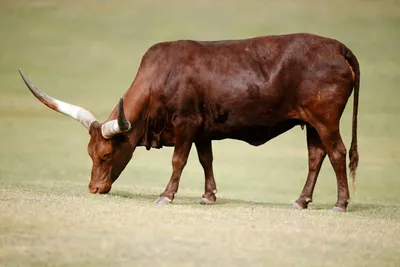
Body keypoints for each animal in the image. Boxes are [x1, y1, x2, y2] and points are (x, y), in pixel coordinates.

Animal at [20, 33, 360, 211]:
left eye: (106, 155)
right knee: (316, 157)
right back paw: (301, 201)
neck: (161, 78)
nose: (94, 188)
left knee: (337, 153)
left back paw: (341, 203)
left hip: (326, 120)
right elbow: (205, 160)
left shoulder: (186, 123)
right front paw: (208, 196)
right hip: (312, 123)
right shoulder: (202, 129)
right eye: (90, 154)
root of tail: (337, 46)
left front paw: (166, 195)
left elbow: (178, 160)